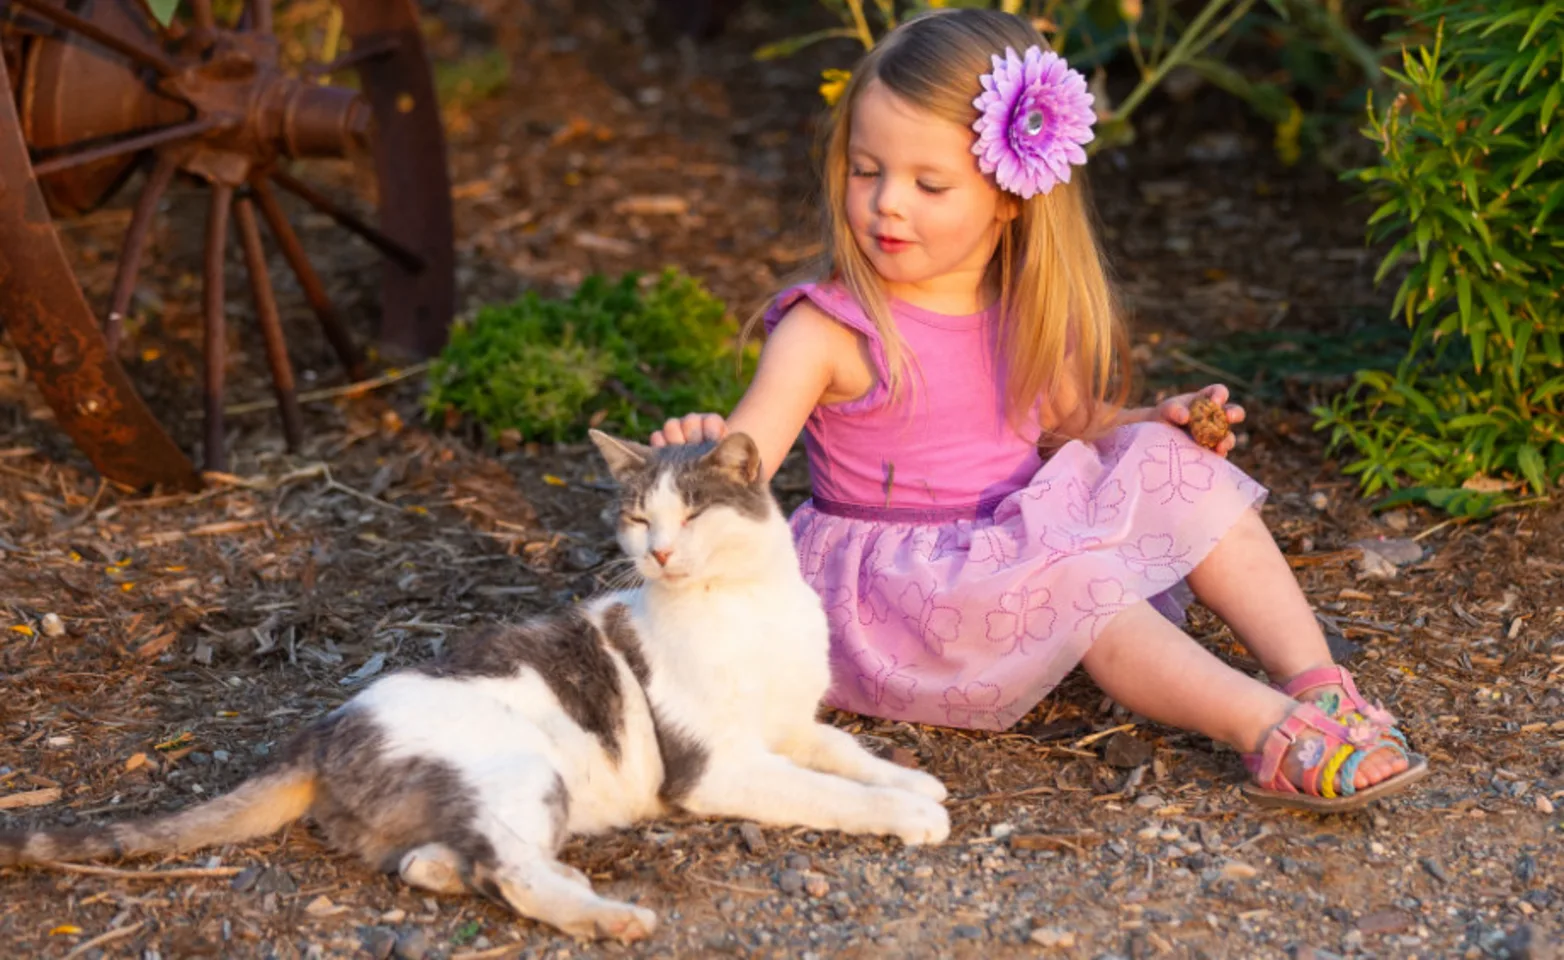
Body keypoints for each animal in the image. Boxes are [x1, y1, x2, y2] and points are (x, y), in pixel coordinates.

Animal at [0, 437, 944, 950]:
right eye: (640, 519)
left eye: (694, 516)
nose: (661, 553)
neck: (744, 606)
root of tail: (320, 729)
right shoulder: (718, 768)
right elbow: (825, 792)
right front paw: (908, 815)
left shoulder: (792, 723)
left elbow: (846, 751)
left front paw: (916, 781)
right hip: (517, 767)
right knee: (506, 870)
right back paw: (606, 917)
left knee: (432, 861)